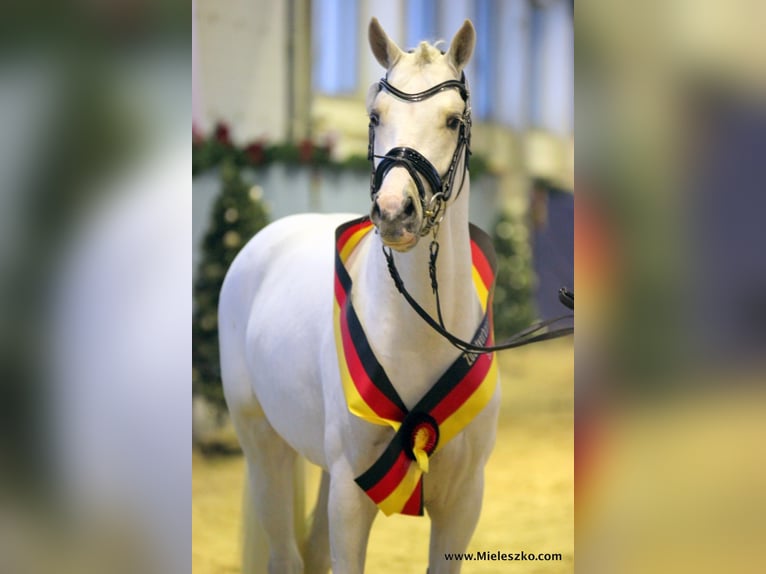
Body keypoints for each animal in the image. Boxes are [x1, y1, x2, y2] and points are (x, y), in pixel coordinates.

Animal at [219, 18, 500, 574]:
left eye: (452, 120)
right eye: (375, 116)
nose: (394, 212)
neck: (418, 335)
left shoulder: (464, 502)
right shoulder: (351, 498)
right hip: (263, 446)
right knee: (285, 553)